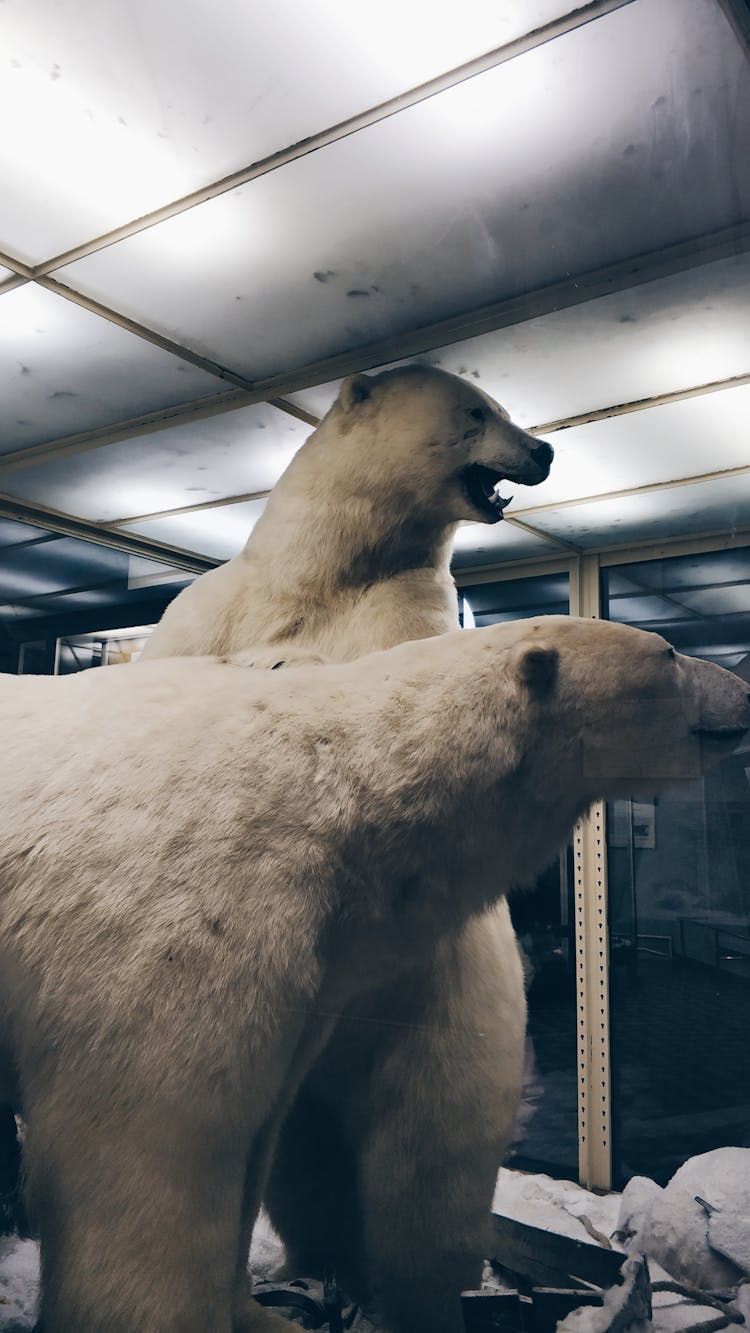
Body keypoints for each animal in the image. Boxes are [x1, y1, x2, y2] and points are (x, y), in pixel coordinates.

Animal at [141, 365, 551, 1333]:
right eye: (479, 410)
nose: (545, 449)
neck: (322, 578)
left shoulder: (410, 613)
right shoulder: (207, 608)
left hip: (448, 1026)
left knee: (422, 1180)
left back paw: (401, 1295)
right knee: (303, 1166)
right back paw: (310, 1272)